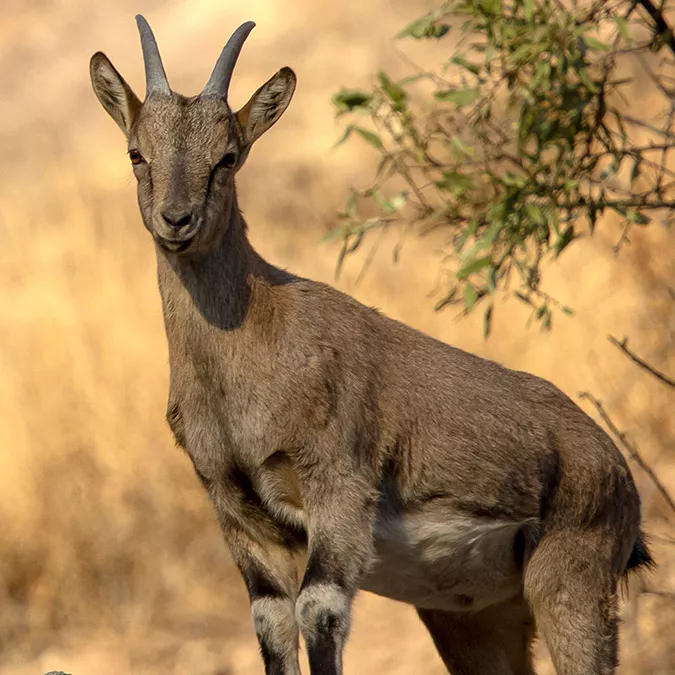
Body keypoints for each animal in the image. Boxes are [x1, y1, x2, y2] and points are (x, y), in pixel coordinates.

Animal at [91, 15, 656, 675]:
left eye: (227, 156)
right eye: (137, 152)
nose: (176, 220)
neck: (252, 343)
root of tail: (617, 473)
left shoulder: (338, 488)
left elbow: (319, 610)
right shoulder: (238, 512)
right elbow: (271, 623)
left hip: (571, 583)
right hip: (473, 615)